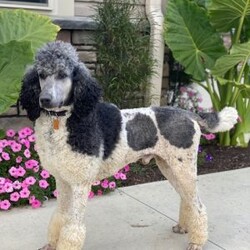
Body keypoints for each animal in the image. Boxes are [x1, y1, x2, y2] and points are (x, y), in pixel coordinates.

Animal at [20, 41, 238, 250]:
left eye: (63, 74)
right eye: (41, 75)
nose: (44, 100)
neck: (63, 121)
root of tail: (189, 114)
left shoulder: (80, 184)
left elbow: (73, 227)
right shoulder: (64, 180)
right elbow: (60, 217)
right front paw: (51, 244)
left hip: (183, 168)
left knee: (198, 205)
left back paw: (197, 242)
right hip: (169, 166)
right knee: (187, 199)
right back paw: (185, 227)